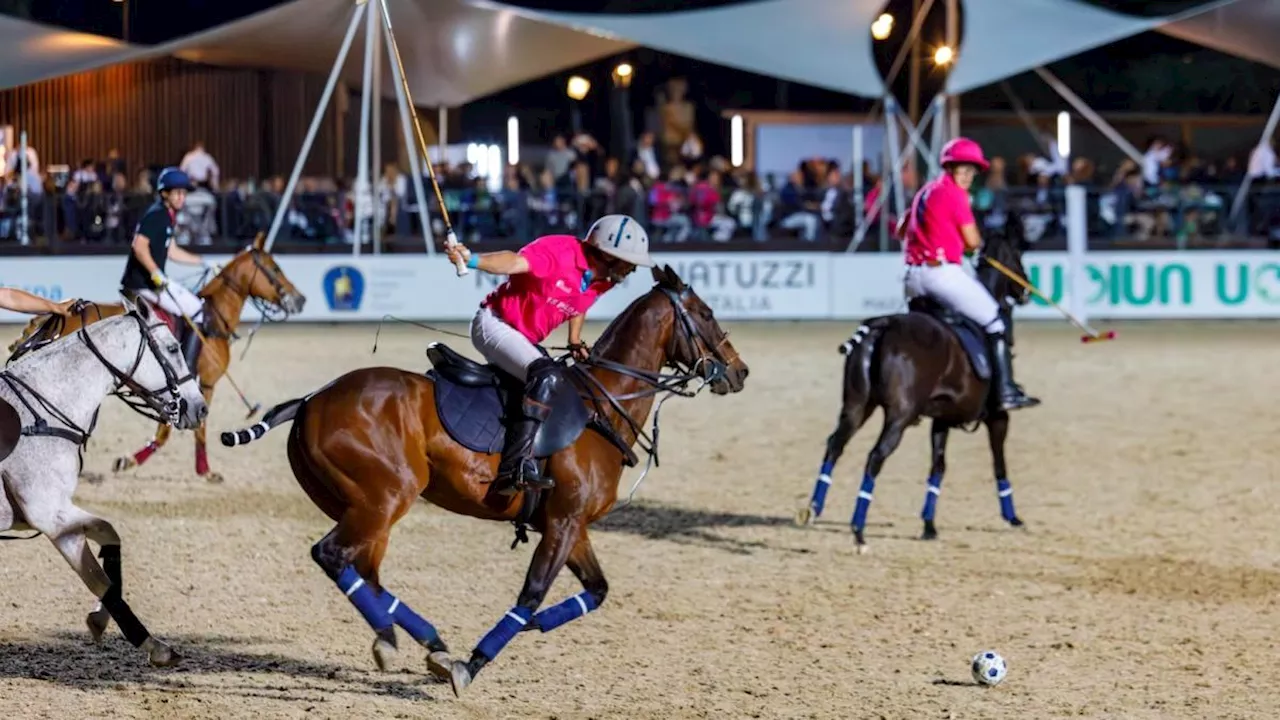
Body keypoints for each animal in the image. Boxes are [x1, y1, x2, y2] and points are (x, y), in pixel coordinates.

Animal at [7, 233, 305, 481]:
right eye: (275, 269)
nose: (300, 299)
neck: (214, 319)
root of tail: (57, 317)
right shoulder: (205, 384)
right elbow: (187, 429)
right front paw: (202, 470)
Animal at [215, 265, 747, 696]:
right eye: (705, 312)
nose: (739, 372)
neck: (602, 405)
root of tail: (310, 401)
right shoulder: (563, 523)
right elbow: (530, 595)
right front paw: (472, 665)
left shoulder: (572, 526)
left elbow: (596, 591)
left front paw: (525, 632)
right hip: (384, 498)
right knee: (332, 555)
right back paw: (404, 642)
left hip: (363, 507)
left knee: (365, 572)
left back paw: (423, 642)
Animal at [798, 215, 1039, 545]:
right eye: (1018, 256)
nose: (1027, 291)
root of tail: (882, 323)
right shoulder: (997, 416)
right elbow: (998, 462)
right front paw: (1013, 517)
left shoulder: (943, 418)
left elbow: (938, 465)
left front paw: (929, 525)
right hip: (900, 413)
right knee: (875, 456)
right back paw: (858, 530)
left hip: (857, 405)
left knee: (836, 444)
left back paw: (814, 508)